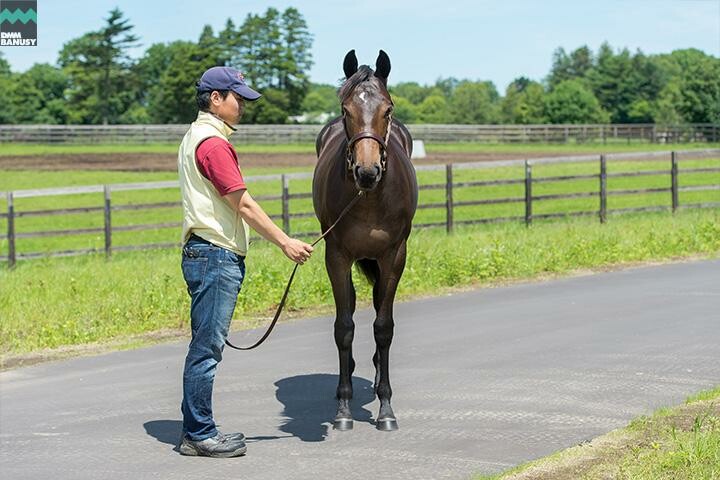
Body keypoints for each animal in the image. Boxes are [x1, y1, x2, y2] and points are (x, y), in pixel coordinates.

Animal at [312, 50, 420, 434]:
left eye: (387, 109)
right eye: (347, 110)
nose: (367, 171)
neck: (369, 199)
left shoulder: (394, 256)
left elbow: (383, 328)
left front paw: (386, 409)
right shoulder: (336, 256)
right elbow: (344, 327)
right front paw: (343, 409)